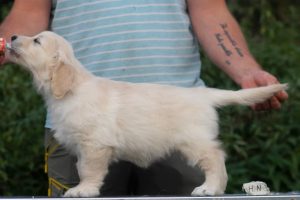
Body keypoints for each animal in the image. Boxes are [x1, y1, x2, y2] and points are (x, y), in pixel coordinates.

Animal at [8, 32, 288, 198]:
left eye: (36, 41)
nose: (11, 36)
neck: (72, 88)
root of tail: (203, 94)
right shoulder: (83, 146)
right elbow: (80, 167)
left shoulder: (94, 145)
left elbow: (88, 170)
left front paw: (83, 190)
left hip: (194, 140)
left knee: (216, 158)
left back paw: (210, 188)